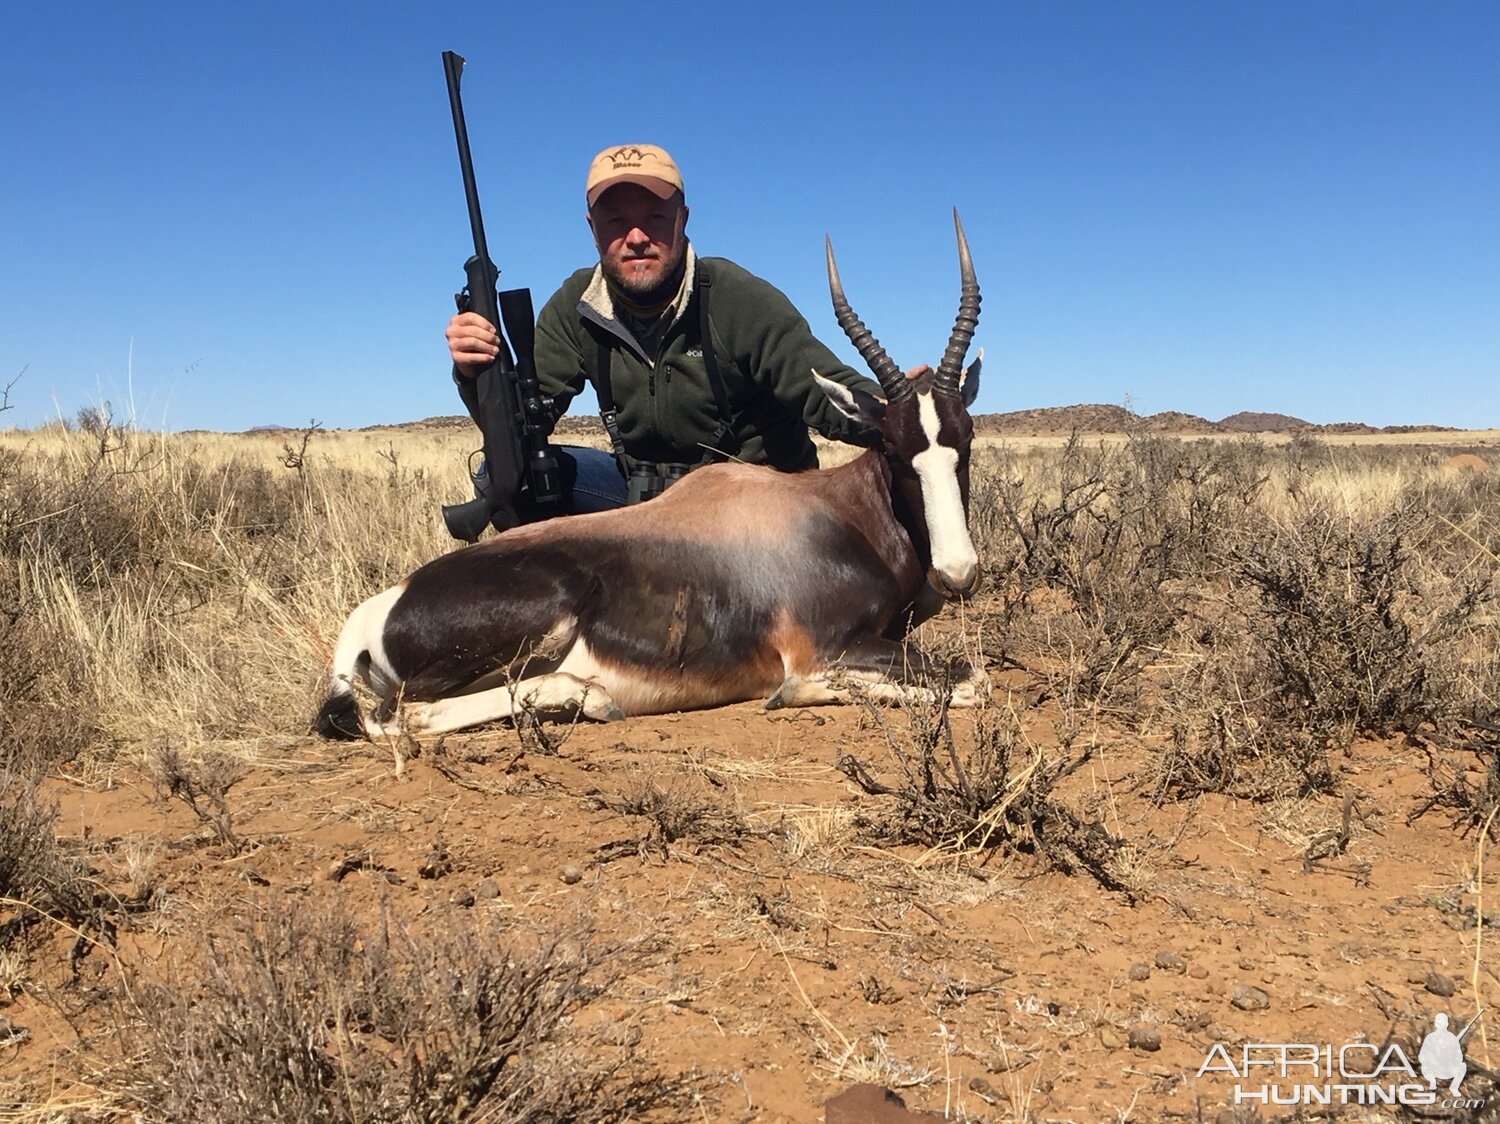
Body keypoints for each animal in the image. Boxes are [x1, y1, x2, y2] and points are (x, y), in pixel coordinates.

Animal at [319, 211, 984, 741]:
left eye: (965, 440)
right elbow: (967, 678)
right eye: (893, 449)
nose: (959, 574)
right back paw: (587, 696)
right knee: (399, 715)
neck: (831, 511)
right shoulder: (824, 647)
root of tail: (376, 613)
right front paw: (789, 693)